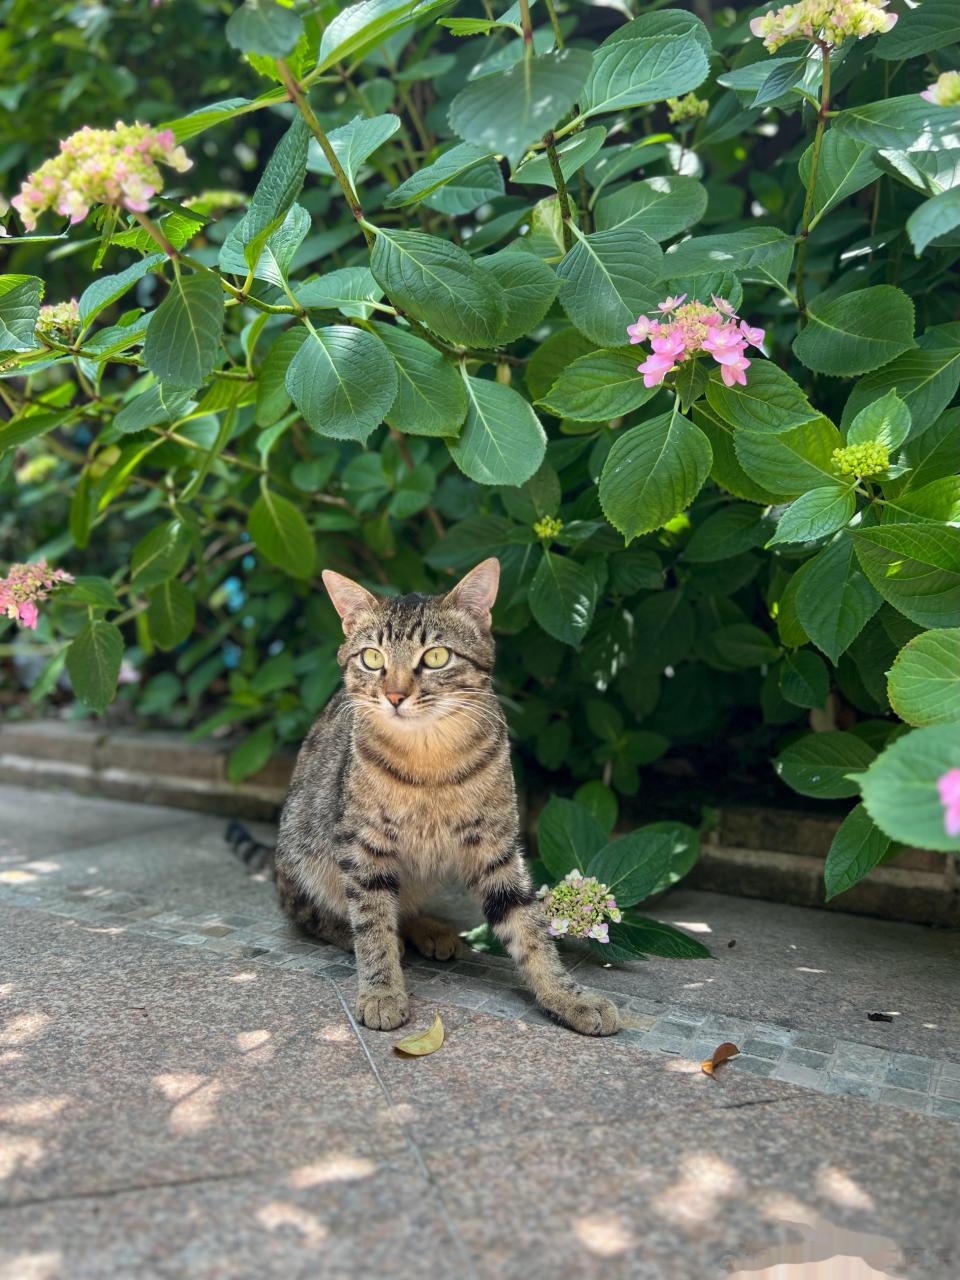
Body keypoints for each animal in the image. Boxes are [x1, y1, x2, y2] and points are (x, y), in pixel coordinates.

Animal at [276, 560, 624, 1039]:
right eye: (372, 658)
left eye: (436, 657)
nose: (395, 695)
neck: (429, 760)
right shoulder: (363, 846)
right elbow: (372, 922)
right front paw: (382, 991)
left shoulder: (496, 846)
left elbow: (529, 929)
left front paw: (568, 997)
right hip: (303, 852)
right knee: (313, 914)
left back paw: (429, 930)